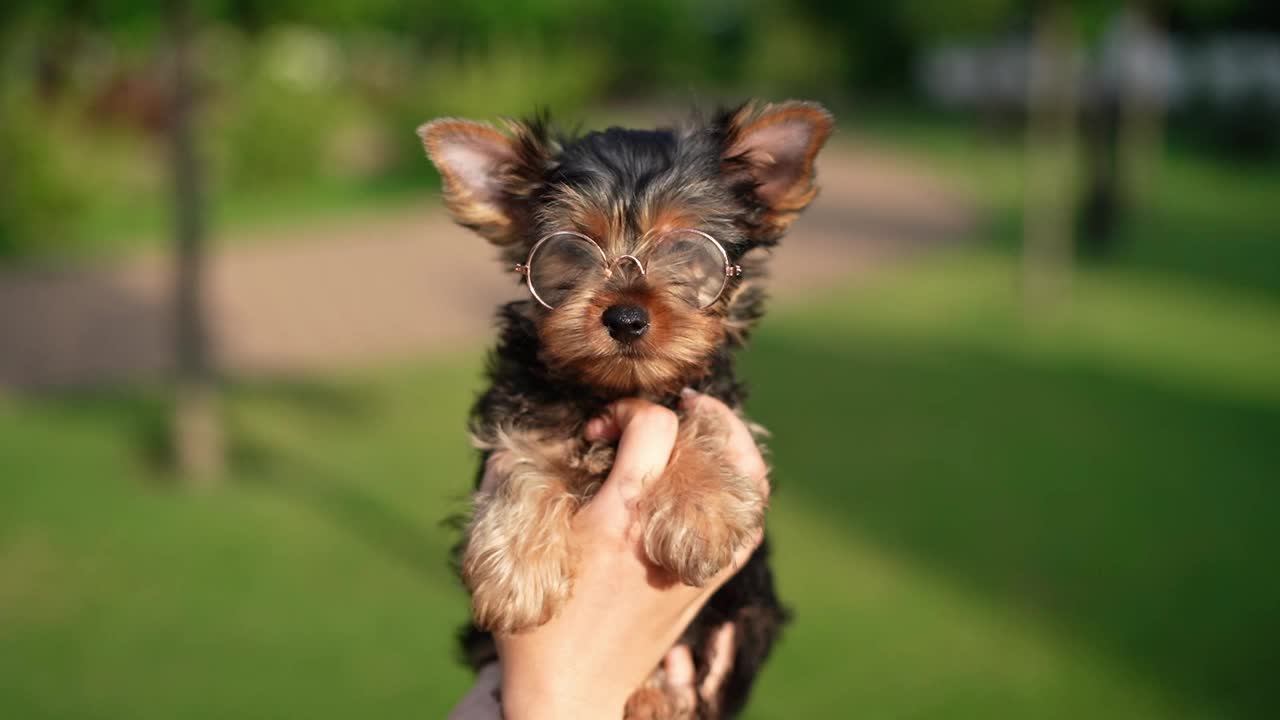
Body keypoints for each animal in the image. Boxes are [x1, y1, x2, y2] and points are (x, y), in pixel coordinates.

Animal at [424, 98, 834, 712]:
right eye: (571, 250)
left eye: (686, 246)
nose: (625, 316)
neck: (617, 387)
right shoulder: (520, 410)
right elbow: (523, 457)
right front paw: (517, 571)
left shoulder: (712, 394)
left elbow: (694, 414)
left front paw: (702, 509)